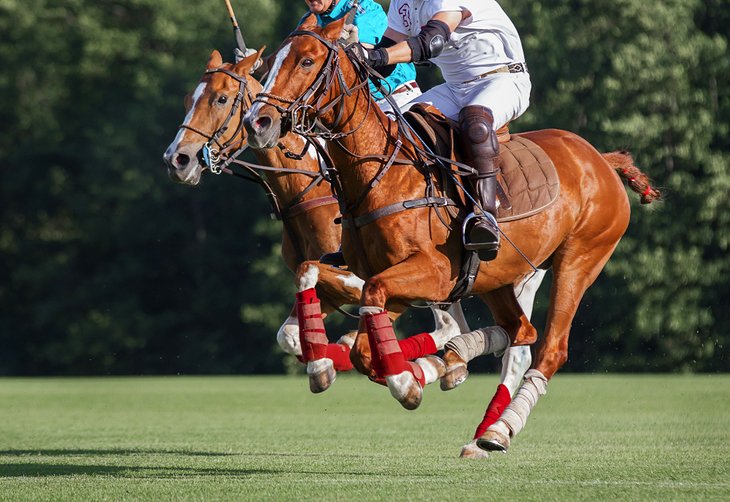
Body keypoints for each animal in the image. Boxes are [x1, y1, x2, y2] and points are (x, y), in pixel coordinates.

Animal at [242, 17, 656, 452]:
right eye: (272, 60)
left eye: (307, 61)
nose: (257, 123)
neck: (381, 174)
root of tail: (601, 159)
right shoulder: (387, 277)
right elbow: (346, 322)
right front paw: (403, 374)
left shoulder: (434, 273)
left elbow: (371, 307)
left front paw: (403, 381)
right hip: (499, 275)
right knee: (520, 331)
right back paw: (457, 366)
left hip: (579, 259)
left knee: (549, 348)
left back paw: (498, 429)